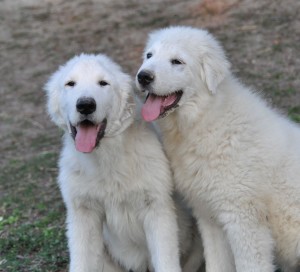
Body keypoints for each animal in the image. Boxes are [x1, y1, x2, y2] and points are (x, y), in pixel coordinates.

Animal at [45, 53, 204, 272]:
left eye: (103, 83)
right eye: (70, 84)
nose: (85, 105)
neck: (107, 158)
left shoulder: (157, 209)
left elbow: (166, 261)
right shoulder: (82, 214)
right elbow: (80, 263)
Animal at [136, 26, 300, 272]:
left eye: (177, 61)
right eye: (149, 56)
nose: (143, 76)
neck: (205, 120)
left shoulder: (244, 221)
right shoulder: (209, 217)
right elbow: (216, 262)